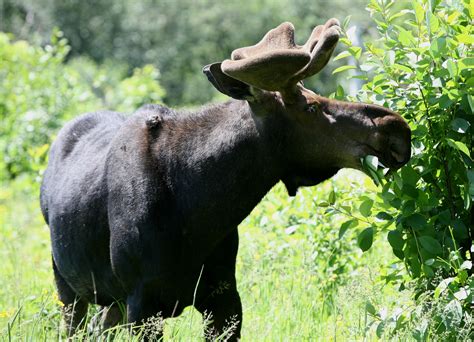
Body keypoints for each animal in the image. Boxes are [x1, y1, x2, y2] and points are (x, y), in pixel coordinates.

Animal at [40, 18, 412, 340]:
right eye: (311, 106)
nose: (396, 128)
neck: (199, 208)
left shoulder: (223, 296)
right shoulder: (143, 303)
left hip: (109, 299)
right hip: (69, 289)